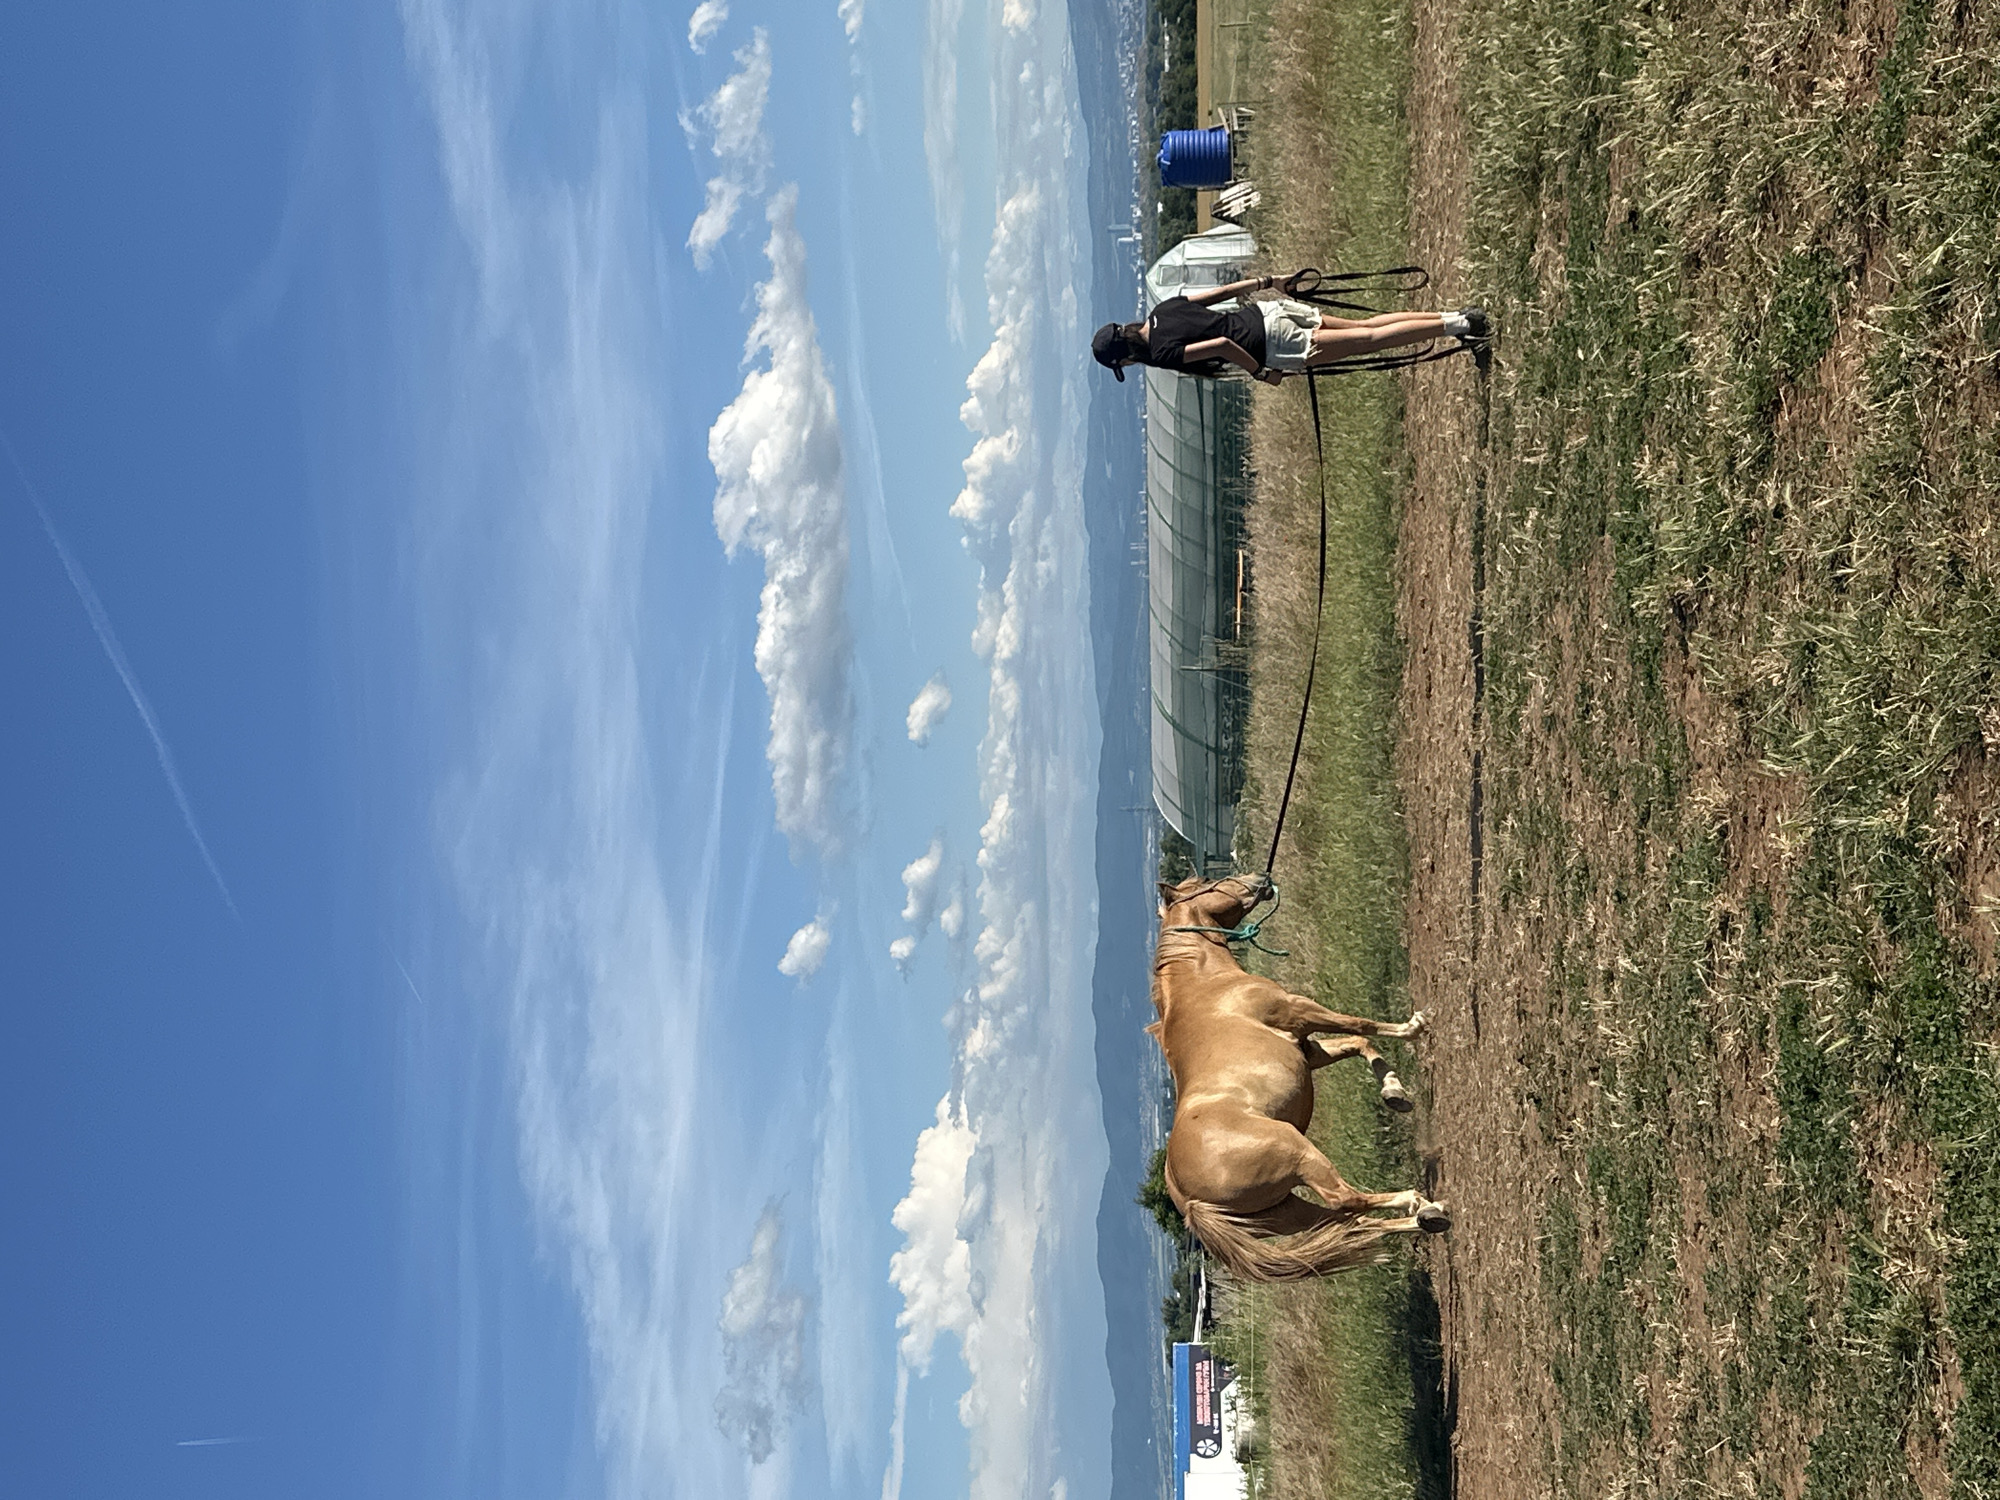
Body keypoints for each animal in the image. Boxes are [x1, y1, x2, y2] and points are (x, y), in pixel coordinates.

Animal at [1150, 871, 1449, 1281]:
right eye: (1214, 880)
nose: (1260, 878)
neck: (1206, 983)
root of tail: (1189, 1200)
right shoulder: (1299, 1012)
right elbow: (1362, 1025)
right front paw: (1414, 1026)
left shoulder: (1307, 1050)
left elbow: (1358, 1042)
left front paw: (1394, 1093)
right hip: (1299, 1156)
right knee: (1347, 1200)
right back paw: (1418, 1202)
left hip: (1285, 1211)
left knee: (1352, 1223)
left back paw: (1427, 1215)